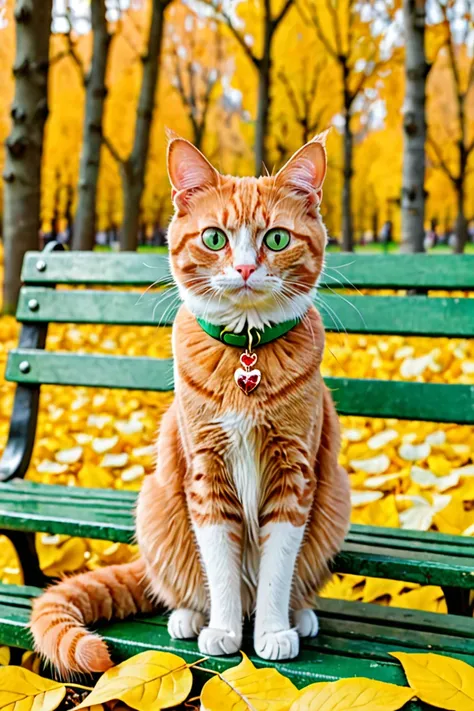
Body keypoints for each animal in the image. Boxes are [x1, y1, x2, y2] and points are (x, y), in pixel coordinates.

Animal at [28, 135, 348, 680]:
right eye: (215, 239)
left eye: (277, 239)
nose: (245, 268)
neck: (246, 355)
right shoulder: (206, 471)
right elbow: (219, 564)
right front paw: (222, 630)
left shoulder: (295, 474)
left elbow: (277, 567)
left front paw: (271, 632)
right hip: (156, 500)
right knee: (181, 583)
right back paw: (188, 616)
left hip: (334, 497)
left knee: (292, 582)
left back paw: (299, 616)